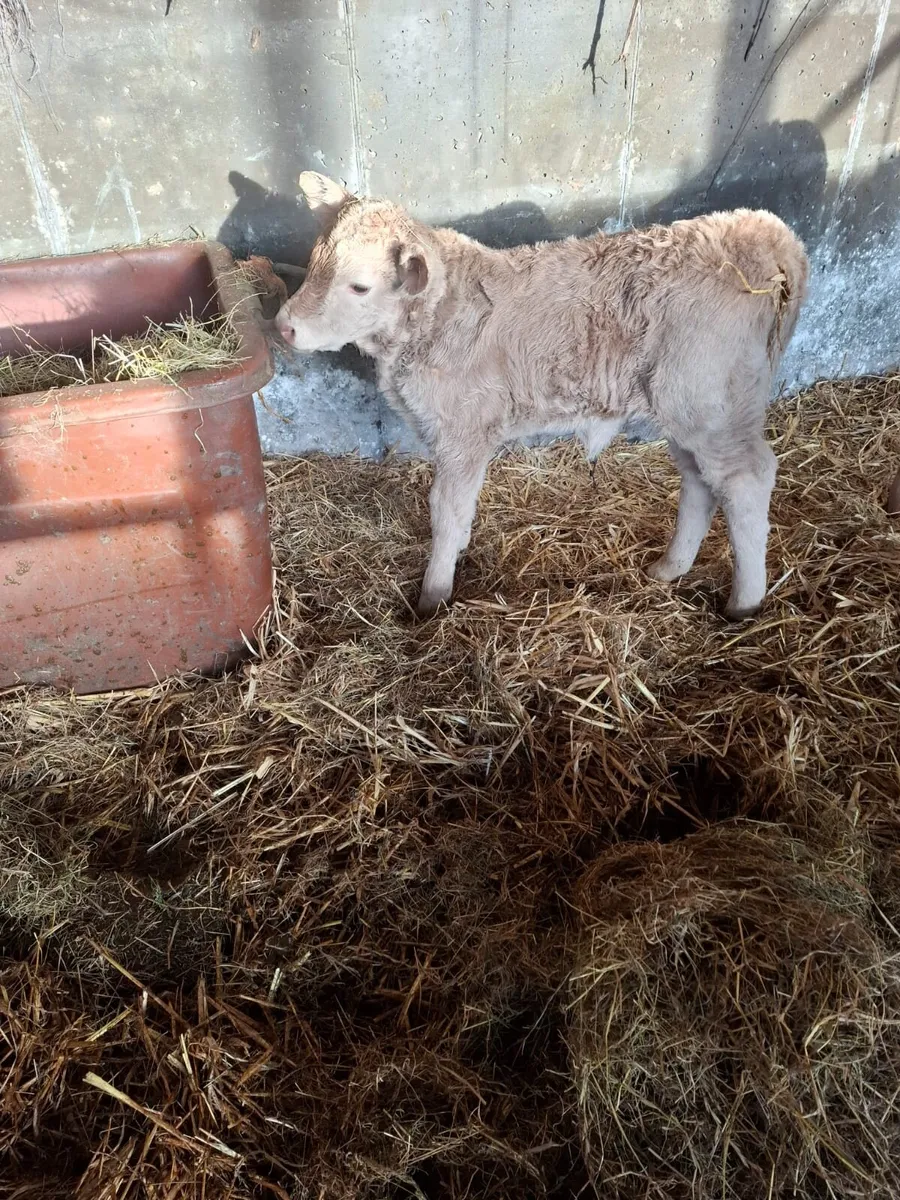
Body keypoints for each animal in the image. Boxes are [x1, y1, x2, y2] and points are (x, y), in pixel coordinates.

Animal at [276, 172, 809, 620]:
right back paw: (668, 569)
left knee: (746, 479)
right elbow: (460, 511)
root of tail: (759, 229)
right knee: (700, 481)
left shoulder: (464, 434)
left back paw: (744, 603)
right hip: (684, 408)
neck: (435, 318)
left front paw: (433, 596)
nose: (284, 325)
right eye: (314, 263)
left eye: (359, 286)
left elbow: (446, 511)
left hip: (711, 403)